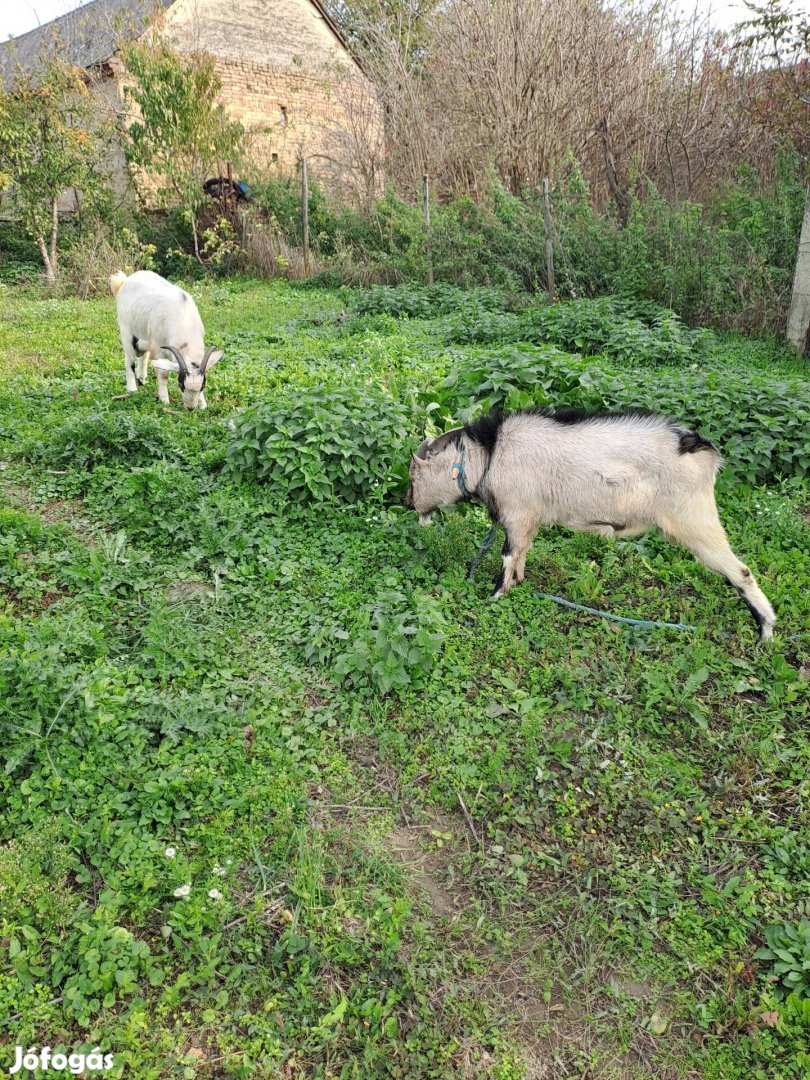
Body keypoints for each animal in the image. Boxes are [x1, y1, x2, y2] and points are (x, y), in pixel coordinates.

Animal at [408, 408, 777, 635]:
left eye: (413, 473)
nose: (408, 502)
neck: (491, 453)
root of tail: (701, 449)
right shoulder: (528, 518)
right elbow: (523, 552)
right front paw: (519, 584)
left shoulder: (517, 512)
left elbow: (507, 556)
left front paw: (496, 594)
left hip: (695, 521)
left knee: (741, 571)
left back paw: (766, 631)